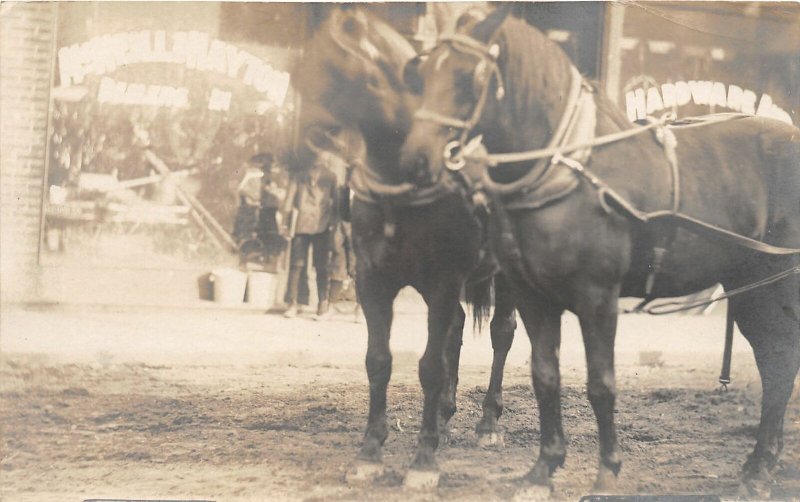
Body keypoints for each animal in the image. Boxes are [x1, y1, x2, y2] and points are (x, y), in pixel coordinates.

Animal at [294, 6, 520, 486]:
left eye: (338, 71)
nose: (305, 143)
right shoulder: (372, 280)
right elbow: (379, 361)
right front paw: (370, 452)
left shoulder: (443, 280)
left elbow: (430, 367)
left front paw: (423, 460)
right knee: (455, 330)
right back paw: (447, 417)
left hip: (507, 277)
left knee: (501, 333)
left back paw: (488, 423)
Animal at [404, 7, 796, 498]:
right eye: (421, 74)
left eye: (464, 77)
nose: (417, 159)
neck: (567, 173)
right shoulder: (534, 299)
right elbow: (545, 377)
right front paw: (543, 469)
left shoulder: (597, 299)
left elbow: (601, 384)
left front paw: (607, 471)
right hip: (751, 287)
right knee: (775, 361)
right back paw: (758, 465)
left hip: (777, 282)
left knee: (780, 362)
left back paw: (761, 466)